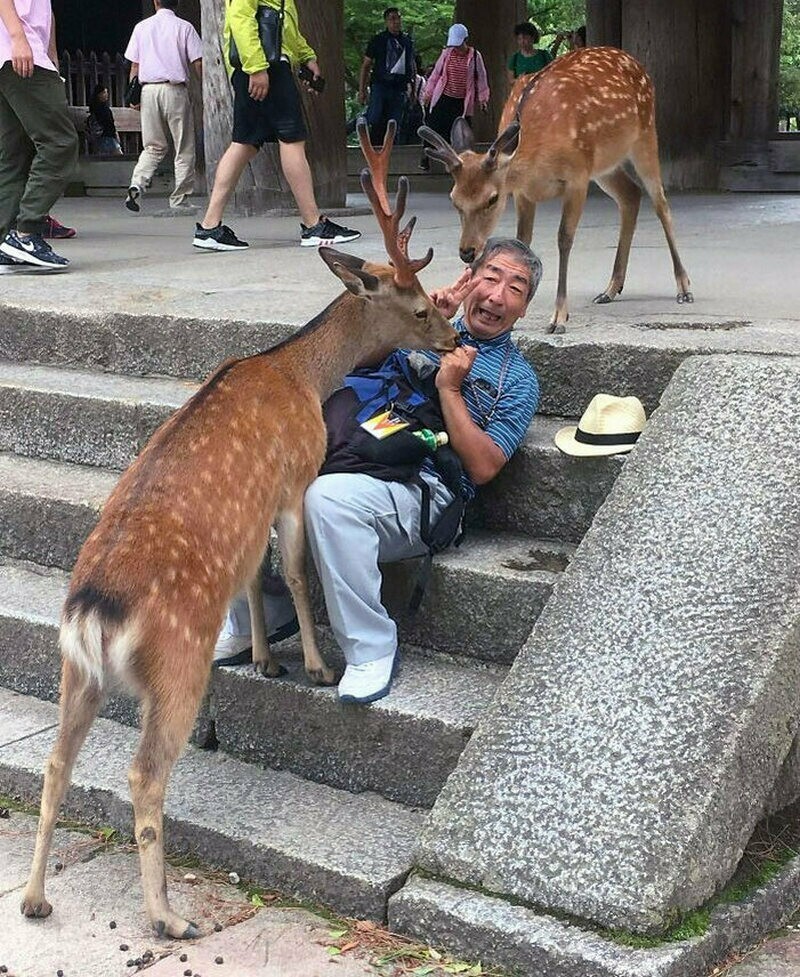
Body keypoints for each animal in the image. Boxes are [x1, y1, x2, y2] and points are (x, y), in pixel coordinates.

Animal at [20, 120, 456, 936]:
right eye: (419, 306)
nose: (451, 339)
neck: (301, 374)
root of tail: (93, 610)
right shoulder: (291, 481)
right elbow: (296, 573)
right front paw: (313, 665)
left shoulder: (251, 515)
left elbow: (255, 577)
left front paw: (263, 659)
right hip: (176, 661)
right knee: (143, 772)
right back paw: (167, 915)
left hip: (73, 669)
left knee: (57, 762)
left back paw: (34, 897)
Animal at [422, 46, 692, 332]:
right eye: (454, 200)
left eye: (492, 199)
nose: (467, 251)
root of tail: (636, 64)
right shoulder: (522, 192)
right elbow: (522, 241)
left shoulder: (577, 176)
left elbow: (564, 238)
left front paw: (559, 317)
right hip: (605, 166)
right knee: (630, 195)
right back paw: (610, 289)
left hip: (645, 135)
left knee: (660, 203)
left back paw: (683, 287)